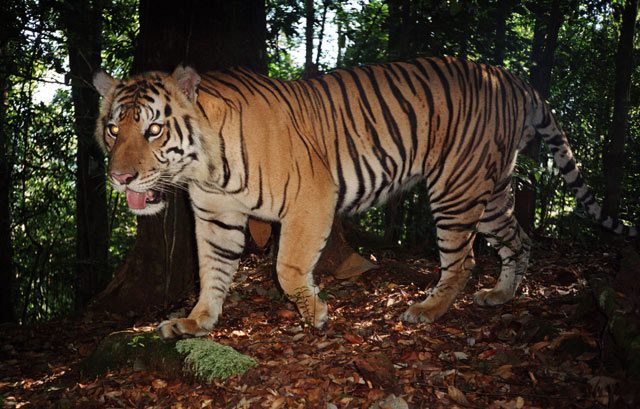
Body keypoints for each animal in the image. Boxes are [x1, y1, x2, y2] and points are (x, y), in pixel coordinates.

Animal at [92, 56, 636, 338]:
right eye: (114, 128)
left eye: (154, 130)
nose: (120, 178)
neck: (204, 170)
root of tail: (511, 77)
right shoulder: (215, 217)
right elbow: (212, 270)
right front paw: (197, 320)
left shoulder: (312, 197)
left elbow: (288, 267)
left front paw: (314, 314)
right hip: (492, 192)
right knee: (520, 240)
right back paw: (501, 295)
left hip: (455, 190)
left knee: (462, 261)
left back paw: (427, 310)